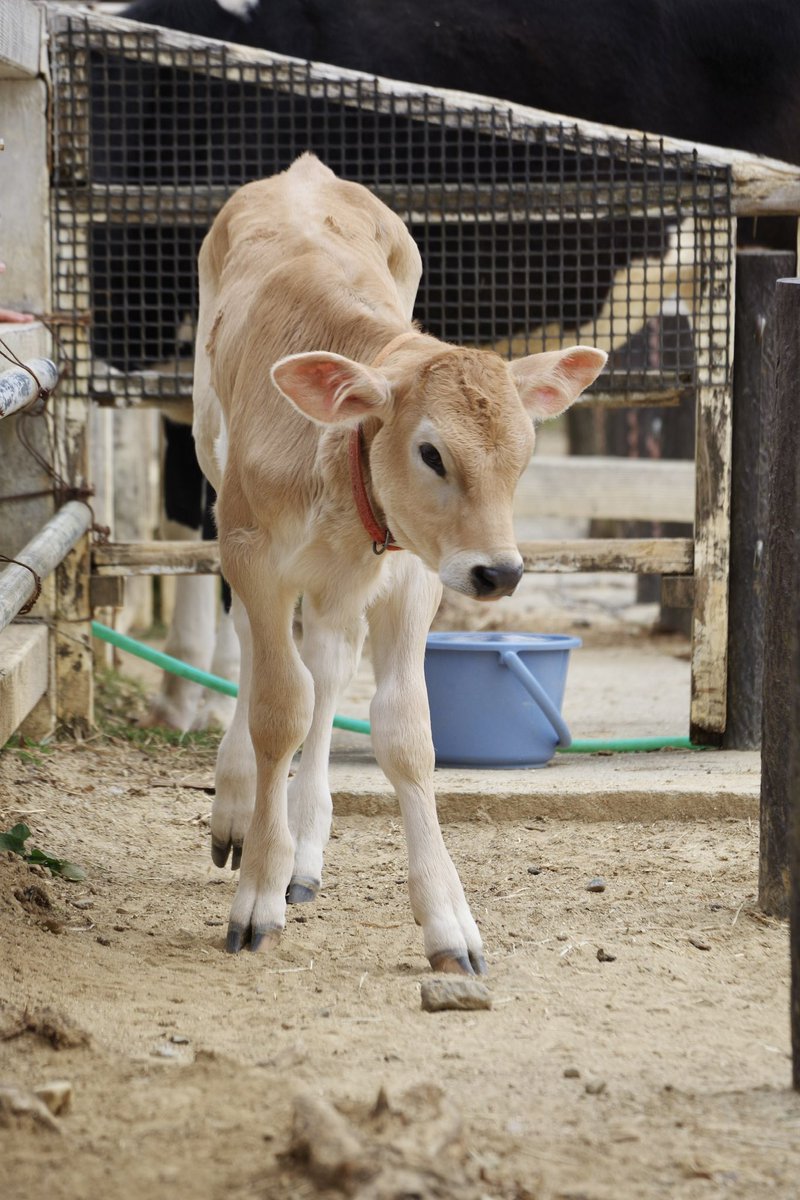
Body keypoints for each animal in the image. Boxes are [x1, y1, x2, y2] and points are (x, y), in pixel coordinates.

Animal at [191, 152, 606, 974]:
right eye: (431, 452)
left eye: (525, 453)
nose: (499, 573)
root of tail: (302, 169)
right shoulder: (253, 553)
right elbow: (276, 710)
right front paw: (257, 893)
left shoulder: (416, 578)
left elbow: (406, 733)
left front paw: (448, 921)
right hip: (215, 476)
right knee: (264, 657)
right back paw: (240, 805)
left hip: (349, 586)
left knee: (327, 663)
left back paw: (307, 844)